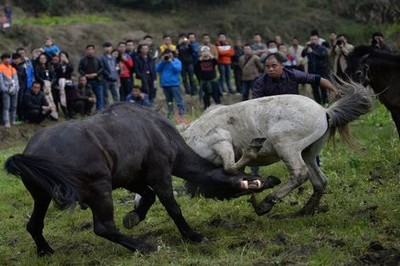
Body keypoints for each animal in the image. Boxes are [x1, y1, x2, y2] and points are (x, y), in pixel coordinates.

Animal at [4, 103, 278, 256]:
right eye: (242, 176)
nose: (269, 180)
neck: (165, 137)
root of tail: (30, 153)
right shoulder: (159, 172)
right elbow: (172, 207)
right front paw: (192, 235)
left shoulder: (130, 177)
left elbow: (147, 196)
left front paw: (134, 216)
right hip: (98, 189)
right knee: (104, 227)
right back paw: (144, 247)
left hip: (42, 196)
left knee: (34, 224)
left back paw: (44, 250)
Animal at [181, 81, 372, 216]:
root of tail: (325, 112)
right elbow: (236, 173)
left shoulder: (221, 140)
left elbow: (230, 167)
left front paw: (253, 150)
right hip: (307, 152)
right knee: (320, 181)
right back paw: (304, 211)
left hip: (285, 144)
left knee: (300, 173)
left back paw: (268, 201)